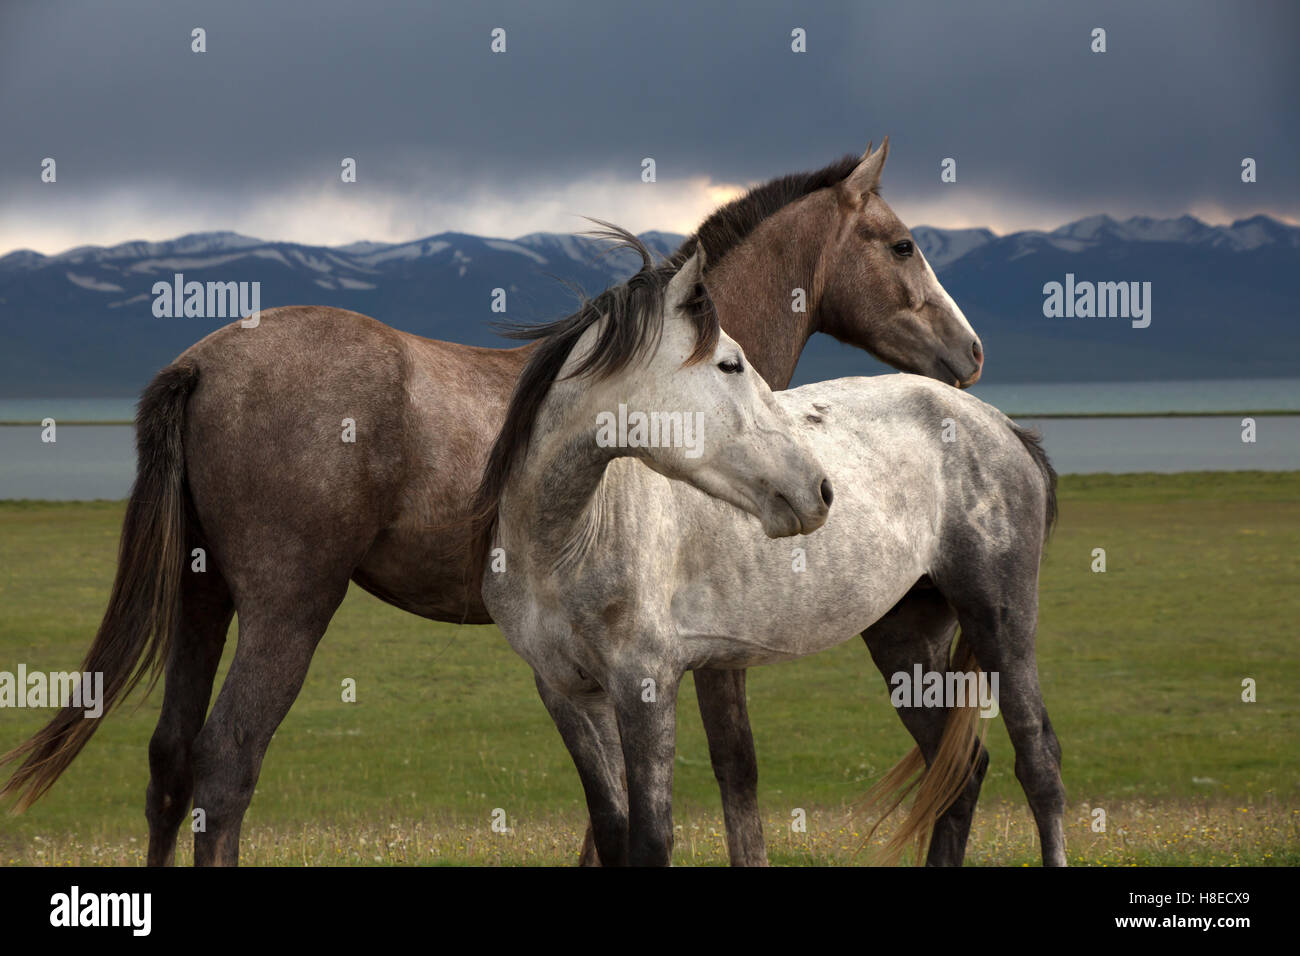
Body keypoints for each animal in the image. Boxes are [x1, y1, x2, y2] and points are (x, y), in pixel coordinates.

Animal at [0, 138, 982, 863]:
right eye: (903, 244)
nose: (970, 353)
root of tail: (202, 362)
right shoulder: (704, 661)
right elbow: (734, 783)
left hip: (203, 599)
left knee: (170, 763)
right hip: (287, 610)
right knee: (226, 765)